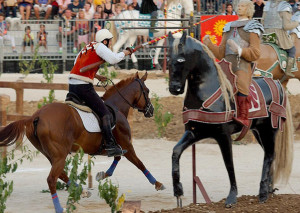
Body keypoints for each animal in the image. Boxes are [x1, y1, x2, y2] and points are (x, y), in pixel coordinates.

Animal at [0, 72, 164, 213]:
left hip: (52, 155)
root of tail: (36, 116)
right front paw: (157, 183)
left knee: (61, 174)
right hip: (60, 155)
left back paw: (83, 191)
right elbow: (139, 163)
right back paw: (59, 207)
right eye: (147, 91)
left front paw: (102, 175)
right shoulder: (126, 145)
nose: (151, 110)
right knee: (52, 179)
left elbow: (117, 157)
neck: (117, 107)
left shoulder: (115, 146)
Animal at [168, 30, 294, 207]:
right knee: (271, 155)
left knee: (269, 155)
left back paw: (263, 193)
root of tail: (277, 84)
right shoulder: (194, 132)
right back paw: (269, 189)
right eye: (167, 59)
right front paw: (178, 190)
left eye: (181, 59)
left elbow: (229, 164)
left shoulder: (223, 136)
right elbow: (175, 152)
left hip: (269, 130)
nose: (174, 88)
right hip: (258, 131)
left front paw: (232, 197)